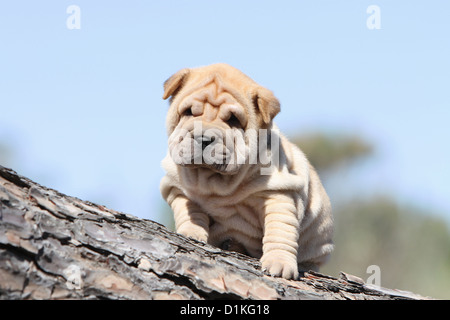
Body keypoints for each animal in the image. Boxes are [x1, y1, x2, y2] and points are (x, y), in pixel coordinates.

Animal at [160, 63, 332, 278]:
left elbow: (280, 230)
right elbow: (188, 211)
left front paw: (280, 263)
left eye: (233, 119)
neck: (215, 182)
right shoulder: (176, 187)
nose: (204, 138)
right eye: (189, 112)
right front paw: (192, 232)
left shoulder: (279, 193)